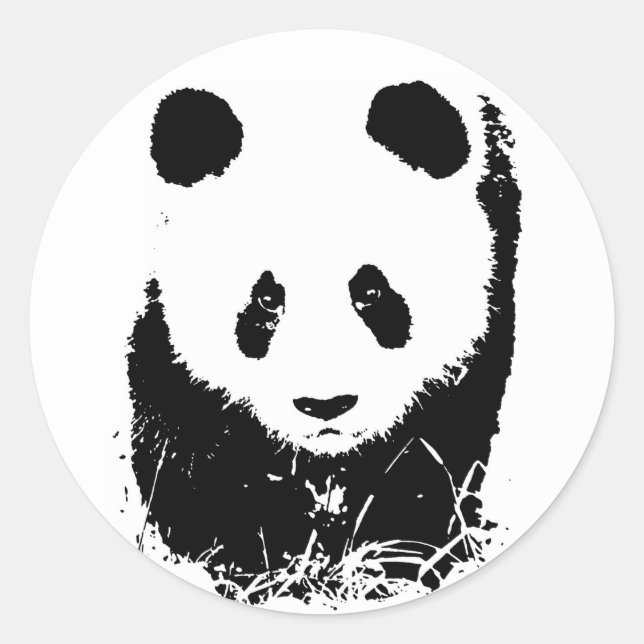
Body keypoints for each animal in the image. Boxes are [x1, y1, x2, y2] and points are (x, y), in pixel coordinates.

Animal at [127, 78, 521, 593]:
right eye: (266, 299)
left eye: (371, 291)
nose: (325, 405)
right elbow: (186, 432)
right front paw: (256, 560)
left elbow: (435, 441)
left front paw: (393, 560)